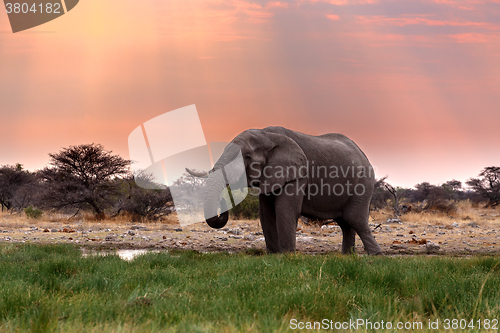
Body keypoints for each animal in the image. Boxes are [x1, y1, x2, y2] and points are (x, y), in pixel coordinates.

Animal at [188, 125, 382, 254]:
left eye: (247, 156)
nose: (223, 201)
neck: (267, 135)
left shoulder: (298, 173)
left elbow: (285, 210)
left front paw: (287, 255)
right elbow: (266, 213)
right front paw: (274, 255)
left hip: (363, 185)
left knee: (355, 219)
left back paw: (375, 255)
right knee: (345, 223)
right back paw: (347, 256)